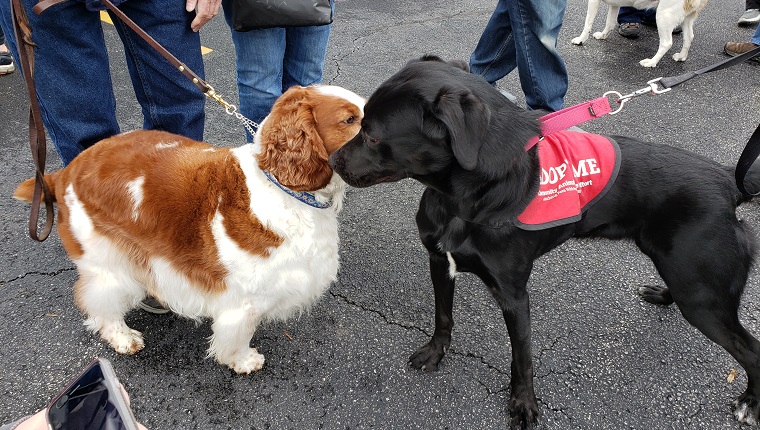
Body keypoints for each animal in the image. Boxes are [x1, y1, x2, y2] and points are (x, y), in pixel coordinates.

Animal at [14, 84, 366, 372]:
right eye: (350, 119)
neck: (281, 186)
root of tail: (65, 171)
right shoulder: (244, 301)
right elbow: (238, 334)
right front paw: (243, 360)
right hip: (107, 260)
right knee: (101, 302)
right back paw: (123, 336)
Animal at [332, 55, 760, 428]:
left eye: (373, 136)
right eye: (358, 122)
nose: (332, 161)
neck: (465, 198)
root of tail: (727, 181)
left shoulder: (514, 296)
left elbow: (522, 358)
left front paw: (523, 404)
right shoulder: (440, 261)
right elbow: (442, 317)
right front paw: (436, 353)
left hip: (701, 299)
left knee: (751, 350)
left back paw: (749, 404)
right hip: (684, 274)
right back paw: (662, 294)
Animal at [572, 0, 708, 67]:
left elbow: (588, 23)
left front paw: (580, 39)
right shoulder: (615, 4)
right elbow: (609, 23)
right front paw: (603, 35)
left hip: (663, 15)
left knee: (666, 43)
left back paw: (651, 62)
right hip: (687, 17)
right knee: (689, 37)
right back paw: (681, 56)